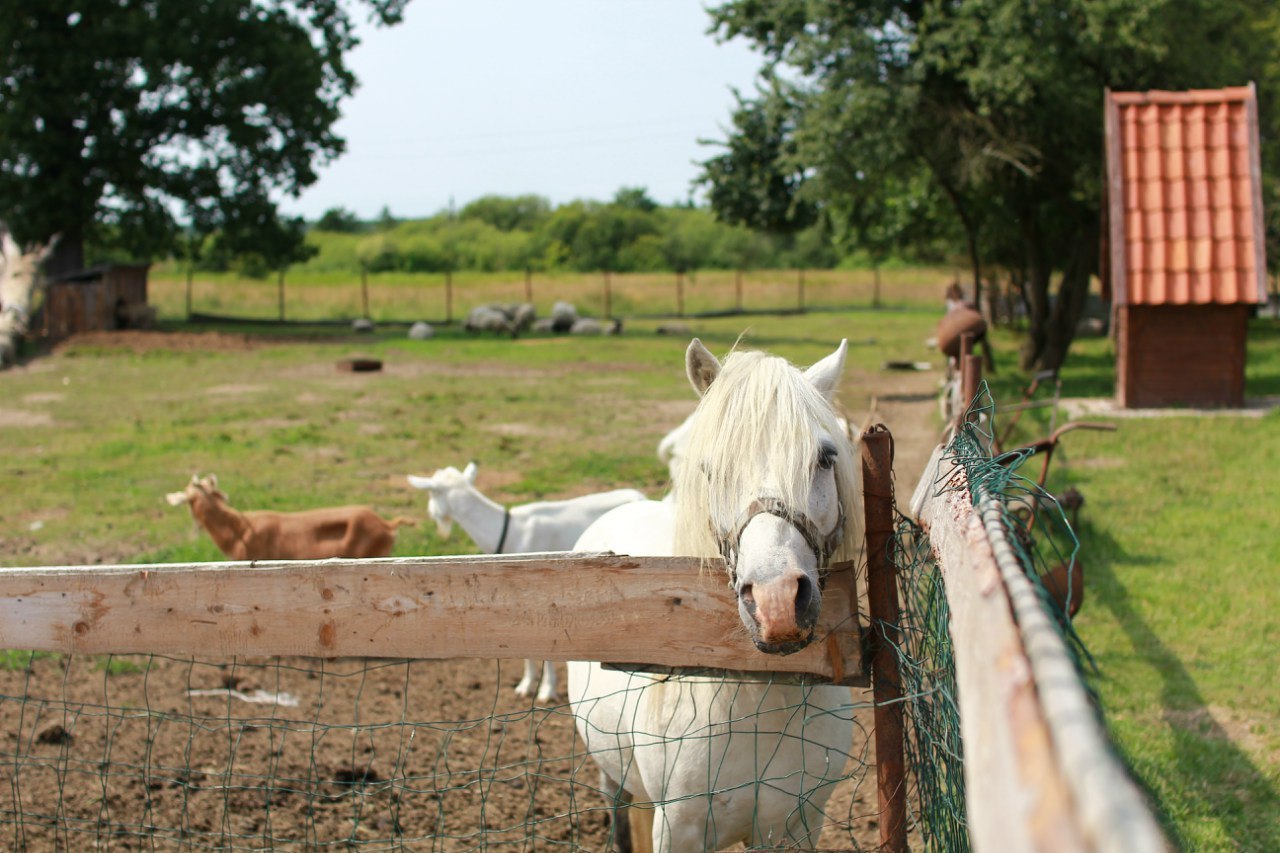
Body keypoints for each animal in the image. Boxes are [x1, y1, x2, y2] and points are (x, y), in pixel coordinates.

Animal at [568, 335, 860, 845]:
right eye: (710, 468)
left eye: (826, 457)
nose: (777, 604)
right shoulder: (678, 828)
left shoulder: (796, 825)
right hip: (610, 773)